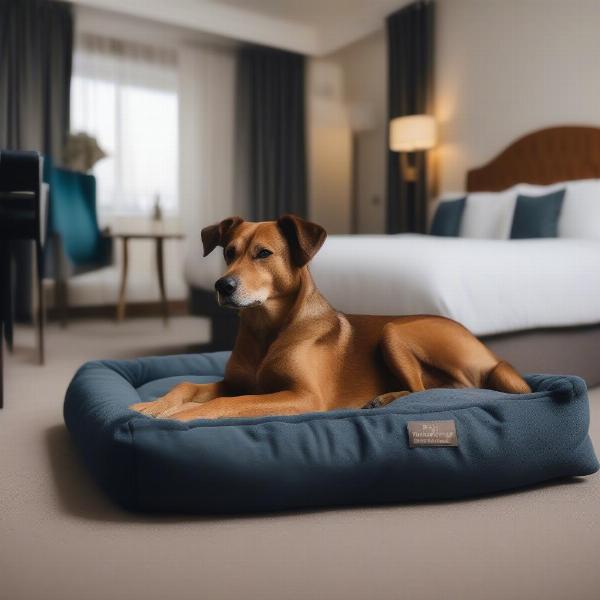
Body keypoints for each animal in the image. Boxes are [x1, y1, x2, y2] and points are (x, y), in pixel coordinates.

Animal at [131, 213, 528, 420]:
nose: (222, 285)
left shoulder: (303, 395)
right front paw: (155, 405)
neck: (266, 331)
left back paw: (384, 399)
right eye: (228, 251)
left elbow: (226, 403)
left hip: (395, 332)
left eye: (264, 253)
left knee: (436, 390)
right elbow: (187, 385)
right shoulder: (237, 382)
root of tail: (491, 354)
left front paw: (180, 415)